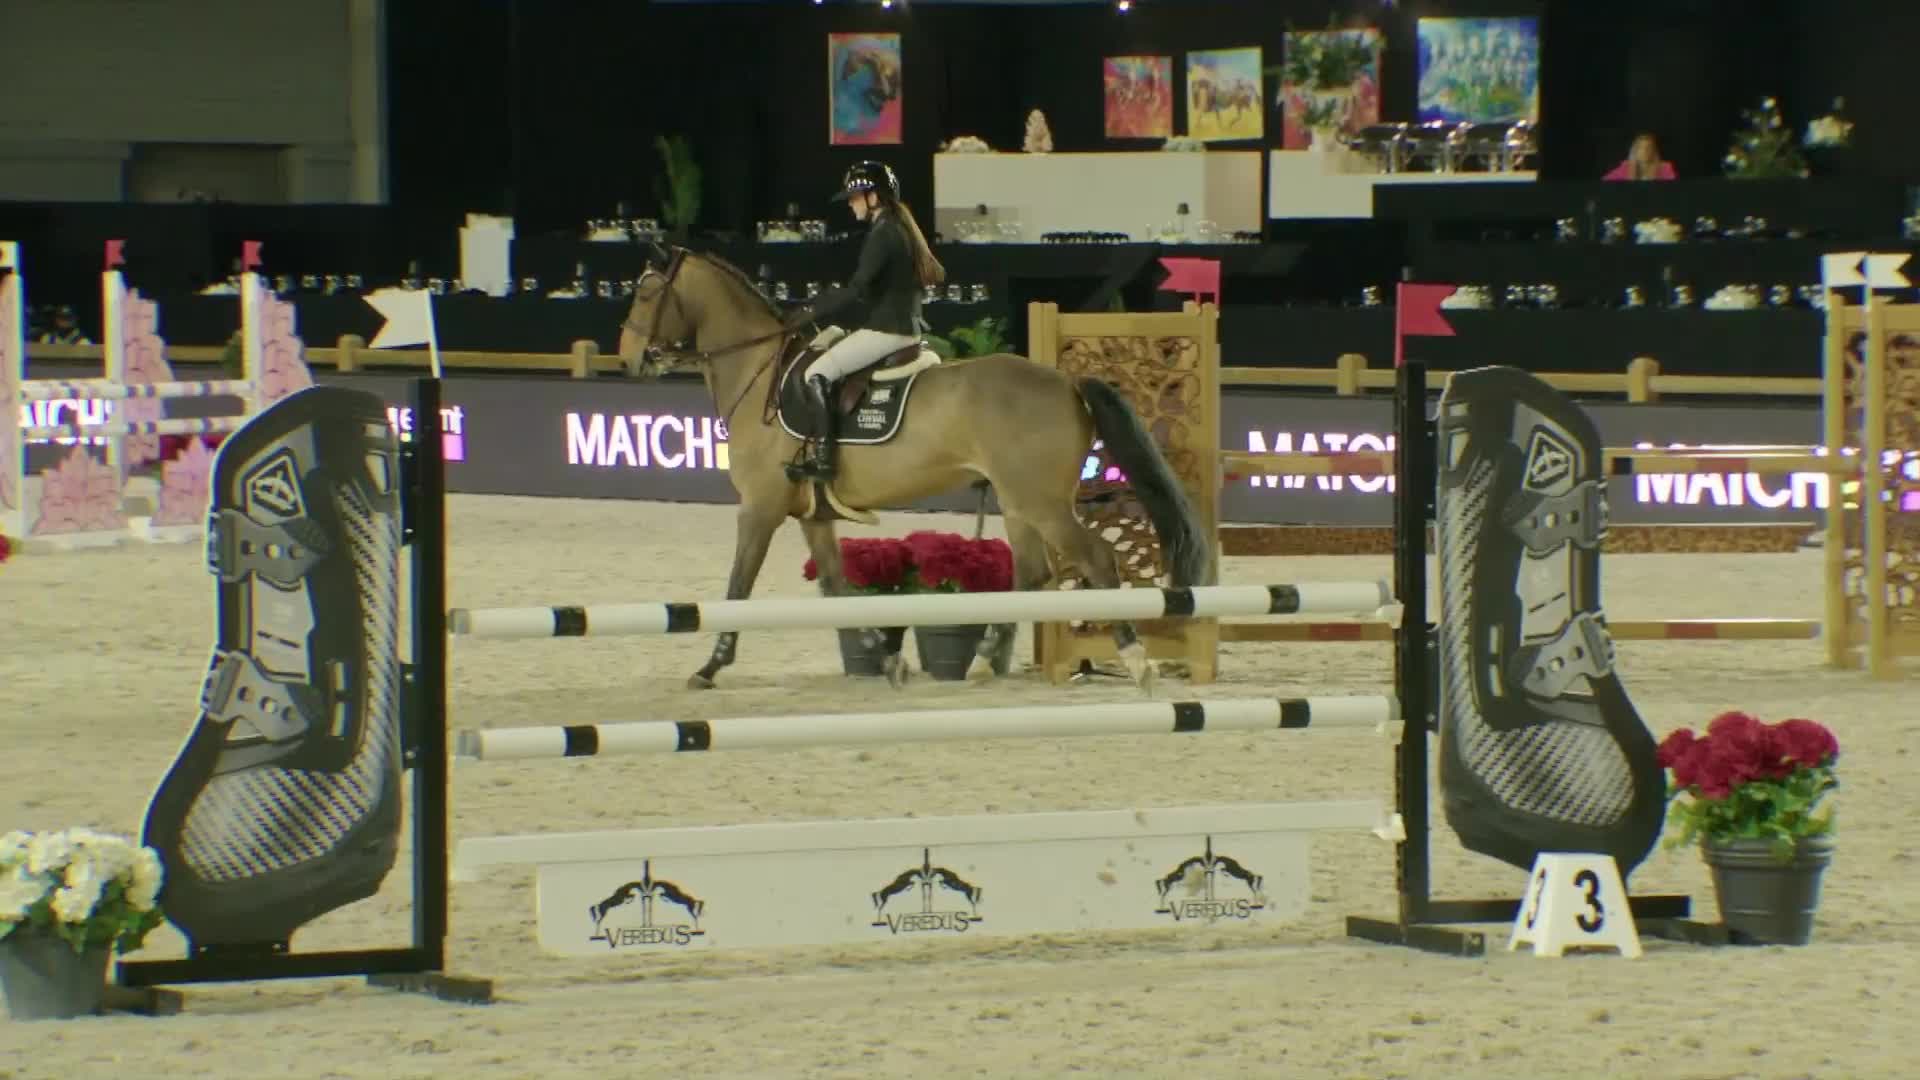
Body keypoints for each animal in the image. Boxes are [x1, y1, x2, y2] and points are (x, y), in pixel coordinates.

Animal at [616, 243, 1210, 693]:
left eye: (645, 291)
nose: (628, 357)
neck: (761, 374)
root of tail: (1066, 382)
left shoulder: (759, 508)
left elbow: (738, 586)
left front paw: (709, 667)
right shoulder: (812, 515)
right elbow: (837, 587)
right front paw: (886, 660)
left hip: (1041, 502)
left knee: (1098, 559)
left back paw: (1136, 660)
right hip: (1018, 501)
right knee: (1032, 572)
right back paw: (982, 662)